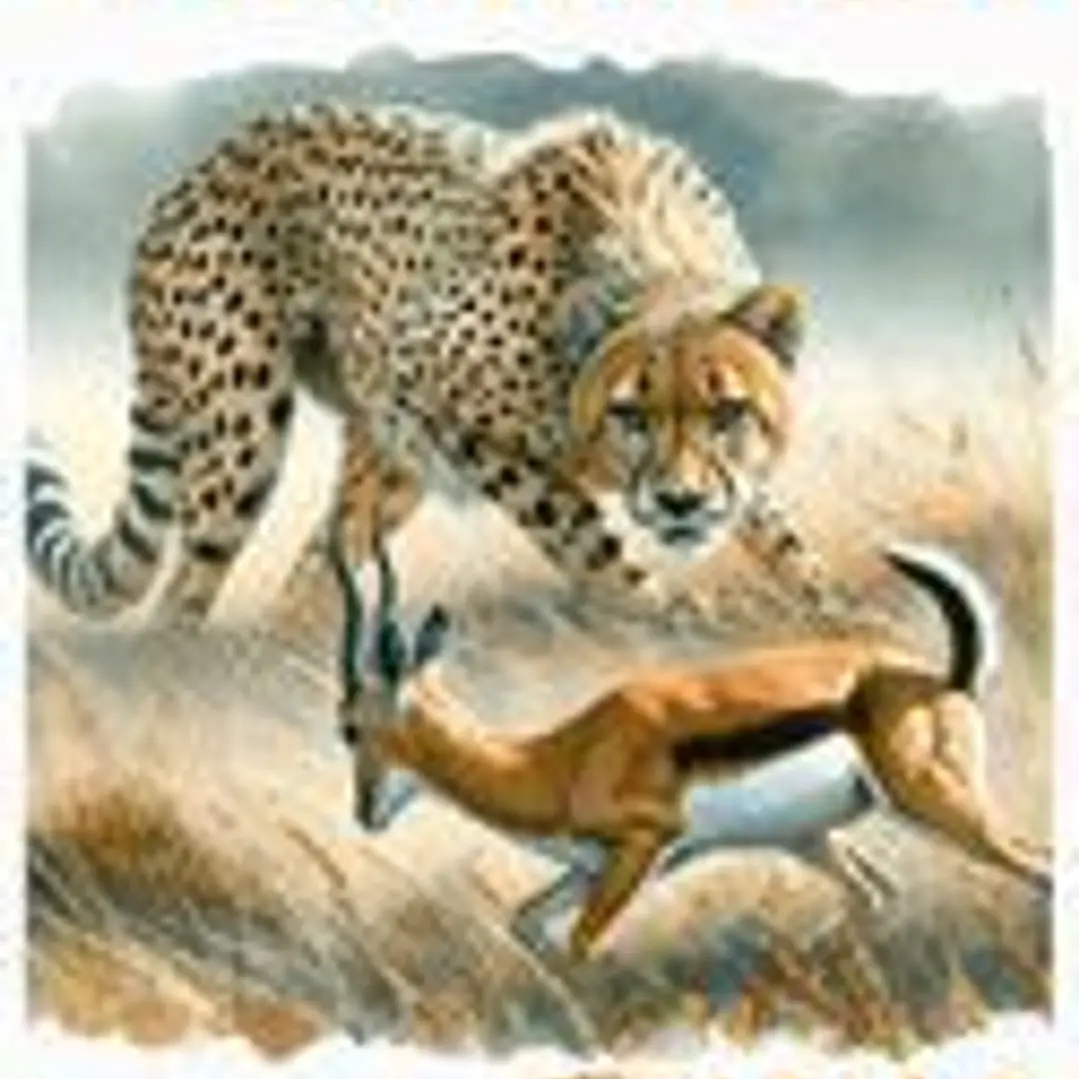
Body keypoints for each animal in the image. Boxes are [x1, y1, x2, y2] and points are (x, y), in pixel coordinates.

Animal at [26, 102, 830, 628]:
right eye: (629, 413)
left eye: (727, 411)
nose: (679, 504)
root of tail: (190, 176)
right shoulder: (425, 396)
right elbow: (572, 523)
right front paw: (654, 605)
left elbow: (770, 520)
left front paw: (821, 600)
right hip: (247, 431)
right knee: (183, 593)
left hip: (382, 459)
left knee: (320, 561)